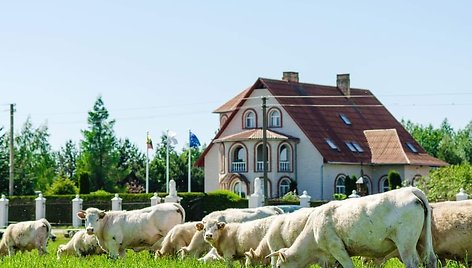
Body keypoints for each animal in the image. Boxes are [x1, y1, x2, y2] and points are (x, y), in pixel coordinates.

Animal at [268, 186, 436, 268]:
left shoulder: (337, 249)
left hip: (406, 243)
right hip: (423, 240)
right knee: (430, 260)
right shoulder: (330, 258)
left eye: (279, 266)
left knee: (412, 262)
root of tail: (410, 190)